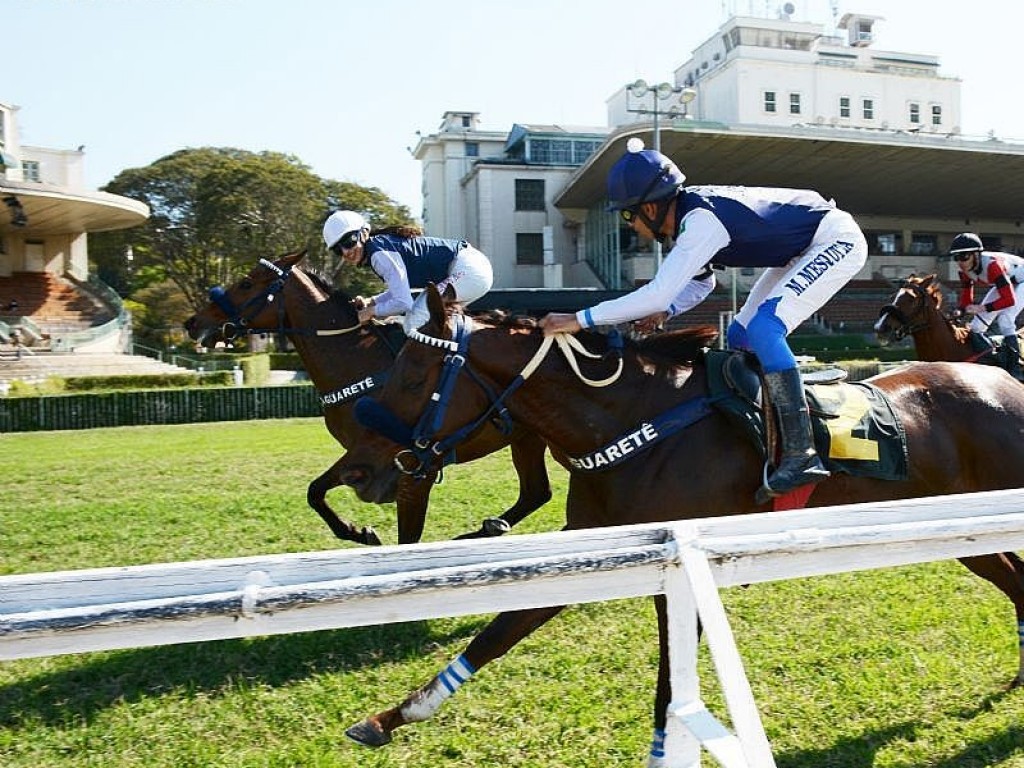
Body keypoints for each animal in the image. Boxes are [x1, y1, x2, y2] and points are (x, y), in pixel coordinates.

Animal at [184, 252, 552, 548]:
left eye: (245, 283)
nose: (192, 323)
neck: (358, 361)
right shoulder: (362, 456)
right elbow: (315, 491)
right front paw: (359, 532)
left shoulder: (415, 468)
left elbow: (408, 536)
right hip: (529, 436)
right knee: (537, 493)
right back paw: (491, 527)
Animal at [337, 284, 1024, 757]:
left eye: (415, 375)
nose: (360, 470)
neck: (632, 421)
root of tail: (1005, 385)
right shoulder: (598, 546)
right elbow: (501, 630)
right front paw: (390, 717)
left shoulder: (680, 567)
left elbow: (670, 689)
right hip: (963, 534)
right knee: (1013, 580)